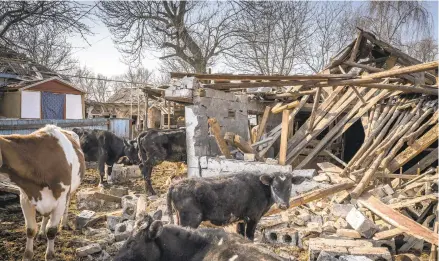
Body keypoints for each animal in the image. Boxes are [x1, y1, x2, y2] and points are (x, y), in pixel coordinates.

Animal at [0, 125, 84, 258]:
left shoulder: (60, 200)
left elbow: (52, 231)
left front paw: (49, 255)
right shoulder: (25, 198)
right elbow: (30, 230)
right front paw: (27, 255)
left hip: (70, 192)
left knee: (66, 206)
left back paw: (64, 224)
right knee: (45, 216)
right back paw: (41, 232)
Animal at [167, 172, 308, 241]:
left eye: (289, 187)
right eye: (275, 187)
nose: (283, 205)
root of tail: (176, 184)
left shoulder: (240, 218)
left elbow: (241, 234)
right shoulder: (253, 217)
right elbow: (249, 237)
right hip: (190, 219)